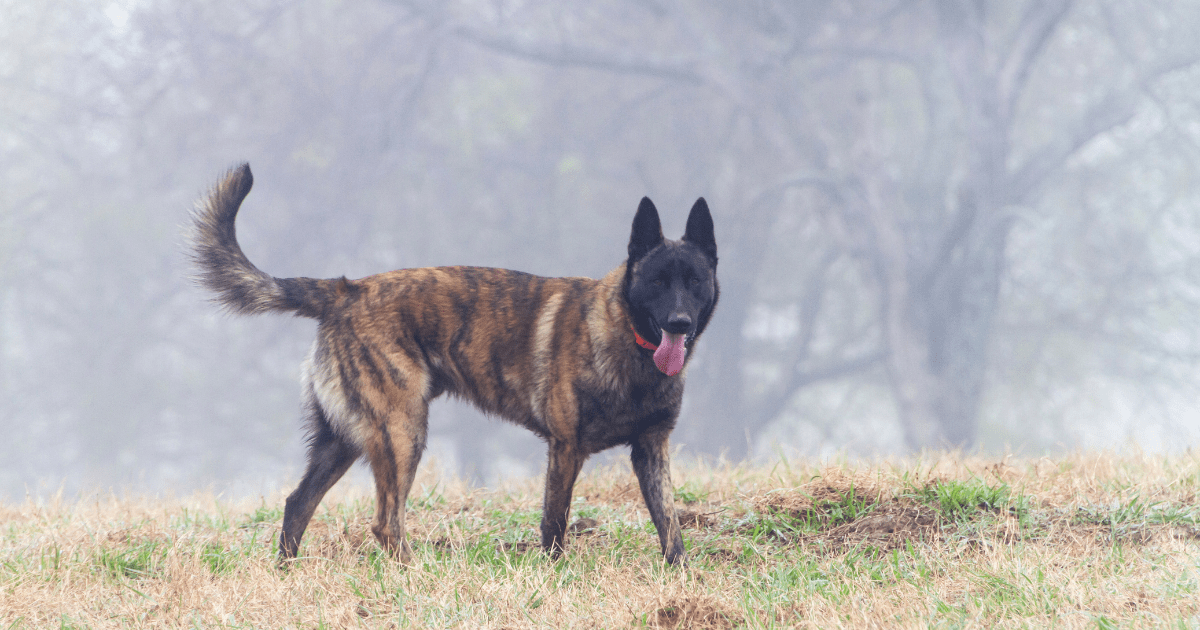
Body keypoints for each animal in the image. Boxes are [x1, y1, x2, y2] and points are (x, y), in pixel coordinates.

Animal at [186, 163, 710, 564]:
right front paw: (556, 573)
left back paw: (287, 572)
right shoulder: (565, 450)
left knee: (298, 504)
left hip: (344, 440)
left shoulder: (651, 449)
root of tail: (345, 290)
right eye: (657, 282)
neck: (627, 338)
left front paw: (679, 573)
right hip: (401, 433)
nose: (680, 323)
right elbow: (554, 525)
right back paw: (412, 573)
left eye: (696, 281)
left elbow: (670, 524)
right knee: (385, 523)